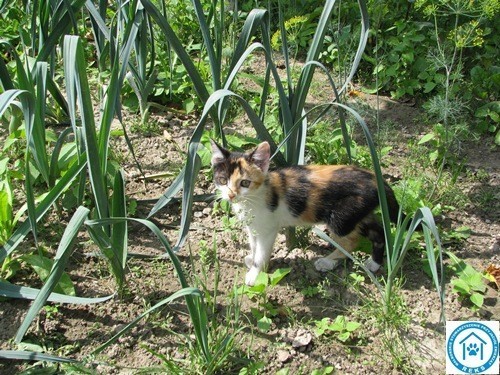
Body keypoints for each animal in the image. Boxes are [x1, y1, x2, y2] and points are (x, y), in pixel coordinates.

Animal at [211, 140, 402, 286]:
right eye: (222, 180)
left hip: (342, 217)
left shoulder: (268, 228)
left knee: (350, 241)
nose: (231, 195)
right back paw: (374, 263)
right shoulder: (253, 226)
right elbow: (253, 244)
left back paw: (327, 261)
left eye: (245, 183)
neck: (254, 198)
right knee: (379, 232)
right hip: (359, 213)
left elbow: (262, 252)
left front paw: (254, 273)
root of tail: (376, 180)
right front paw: (251, 257)